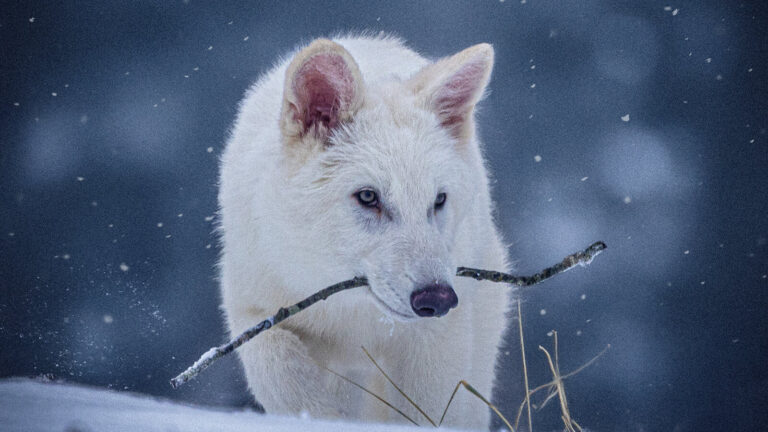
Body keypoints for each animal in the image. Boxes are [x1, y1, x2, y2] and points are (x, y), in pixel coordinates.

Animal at [218, 35, 512, 429]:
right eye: (368, 197)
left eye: (438, 200)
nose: (437, 298)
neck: (351, 313)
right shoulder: (254, 311)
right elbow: (285, 376)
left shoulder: (435, 340)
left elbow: (426, 412)